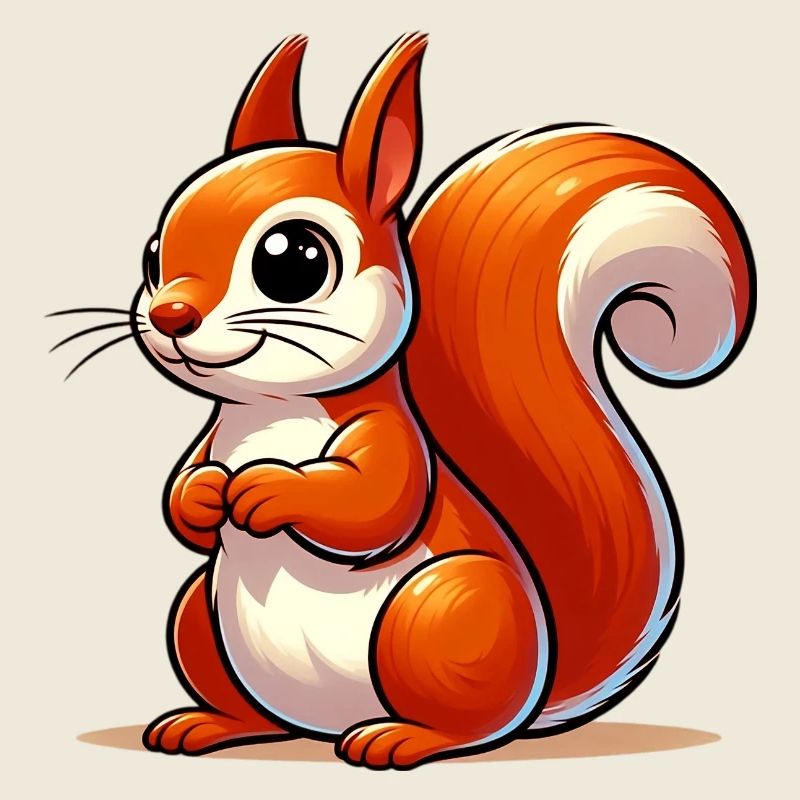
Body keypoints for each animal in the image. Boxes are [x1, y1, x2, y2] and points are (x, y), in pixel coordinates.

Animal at [117, 33, 754, 768]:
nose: (170, 315)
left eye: (294, 259)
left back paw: (401, 737)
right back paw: (208, 723)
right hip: (202, 615)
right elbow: (183, 498)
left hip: (441, 611)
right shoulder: (210, 442)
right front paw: (203, 496)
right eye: (152, 253)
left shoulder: (391, 438)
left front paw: (265, 489)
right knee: (249, 703)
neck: (272, 410)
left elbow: (373, 504)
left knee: (470, 726)